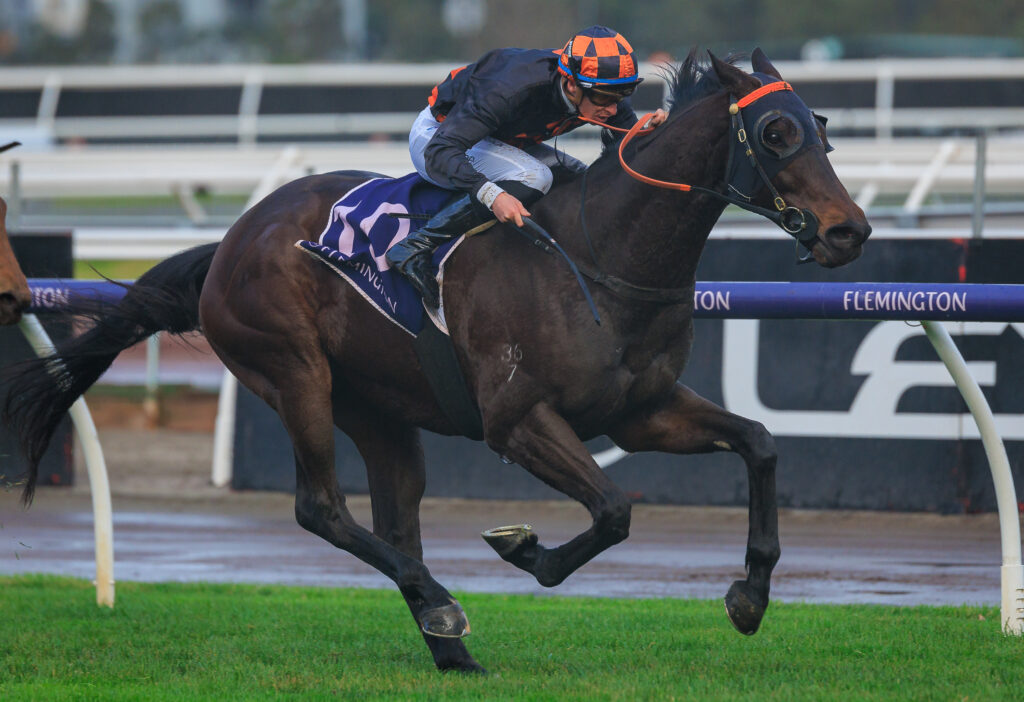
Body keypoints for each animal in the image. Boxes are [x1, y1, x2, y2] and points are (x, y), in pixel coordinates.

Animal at [4, 50, 870, 673]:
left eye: (823, 123)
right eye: (777, 133)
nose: (849, 231)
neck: (600, 254)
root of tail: (232, 242)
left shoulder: (640, 410)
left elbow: (759, 444)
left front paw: (749, 598)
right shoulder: (516, 420)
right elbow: (614, 510)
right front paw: (527, 551)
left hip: (378, 409)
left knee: (396, 519)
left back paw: (449, 648)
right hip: (293, 373)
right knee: (322, 508)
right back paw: (444, 610)